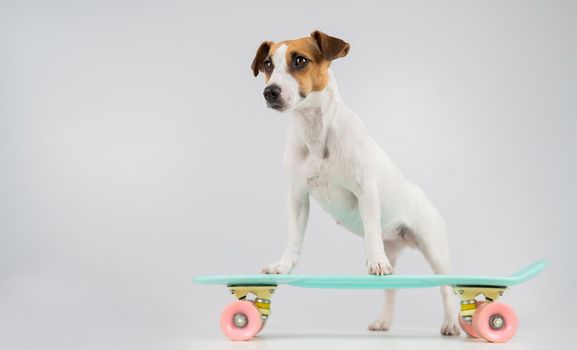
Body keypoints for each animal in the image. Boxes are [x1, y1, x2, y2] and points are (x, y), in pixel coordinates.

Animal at [252, 31, 460, 334]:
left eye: (299, 60)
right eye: (267, 64)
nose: (270, 92)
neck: (315, 132)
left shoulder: (366, 192)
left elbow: (371, 231)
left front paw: (374, 261)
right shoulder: (298, 197)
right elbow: (294, 237)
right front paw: (283, 265)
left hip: (435, 250)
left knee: (446, 287)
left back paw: (451, 322)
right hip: (394, 249)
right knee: (392, 288)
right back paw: (384, 320)